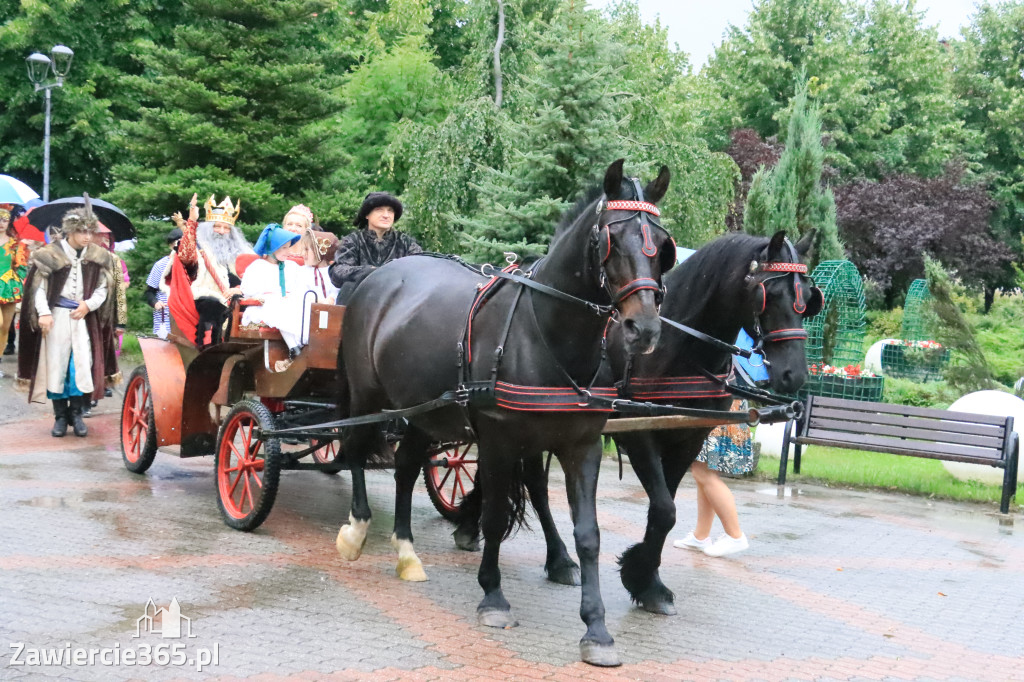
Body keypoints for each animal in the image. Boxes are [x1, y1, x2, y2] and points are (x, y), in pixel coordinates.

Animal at [337, 160, 679, 663]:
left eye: (661, 245)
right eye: (612, 238)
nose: (645, 329)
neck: (548, 335)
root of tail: (381, 275)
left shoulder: (582, 444)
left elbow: (589, 534)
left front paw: (596, 628)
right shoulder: (499, 440)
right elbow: (496, 517)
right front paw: (493, 596)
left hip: (423, 409)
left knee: (405, 466)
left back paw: (406, 551)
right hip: (367, 396)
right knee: (356, 448)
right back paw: (357, 529)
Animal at [452, 227, 819, 610]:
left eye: (809, 298)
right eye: (770, 294)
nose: (793, 374)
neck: (678, 348)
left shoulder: (689, 436)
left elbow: (665, 507)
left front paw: (646, 579)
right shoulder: (637, 433)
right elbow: (664, 508)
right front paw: (641, 575)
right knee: (532, 484)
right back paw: (539, 550)